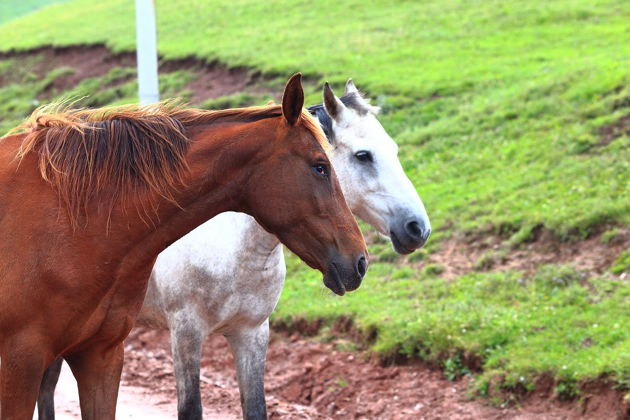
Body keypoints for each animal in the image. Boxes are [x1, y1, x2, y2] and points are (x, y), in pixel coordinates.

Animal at [39, 79, 432, 420]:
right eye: (363, 156)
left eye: (393, 150)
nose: (417, 228)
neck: (230, 249)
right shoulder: (185, 333)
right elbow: (191, 409)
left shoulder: (252, 333)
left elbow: (255, 409)